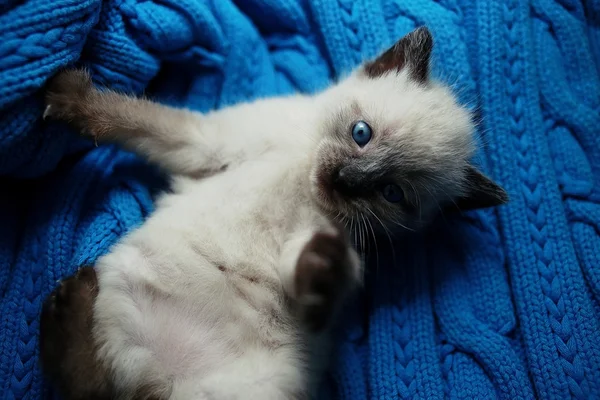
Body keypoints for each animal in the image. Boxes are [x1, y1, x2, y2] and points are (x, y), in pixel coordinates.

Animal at [38, 28, 506, 400]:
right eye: (362, 134)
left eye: (390, 192)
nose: (345, 181)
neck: (305, 171)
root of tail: (163, 384)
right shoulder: (206, 142)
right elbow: (131, 115)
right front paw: (66, 95)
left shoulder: (312, 237)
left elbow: (318, 268)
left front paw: (327, 272)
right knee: (94, 387)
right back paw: (70, 302)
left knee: (93, 389)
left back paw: (68, 302)